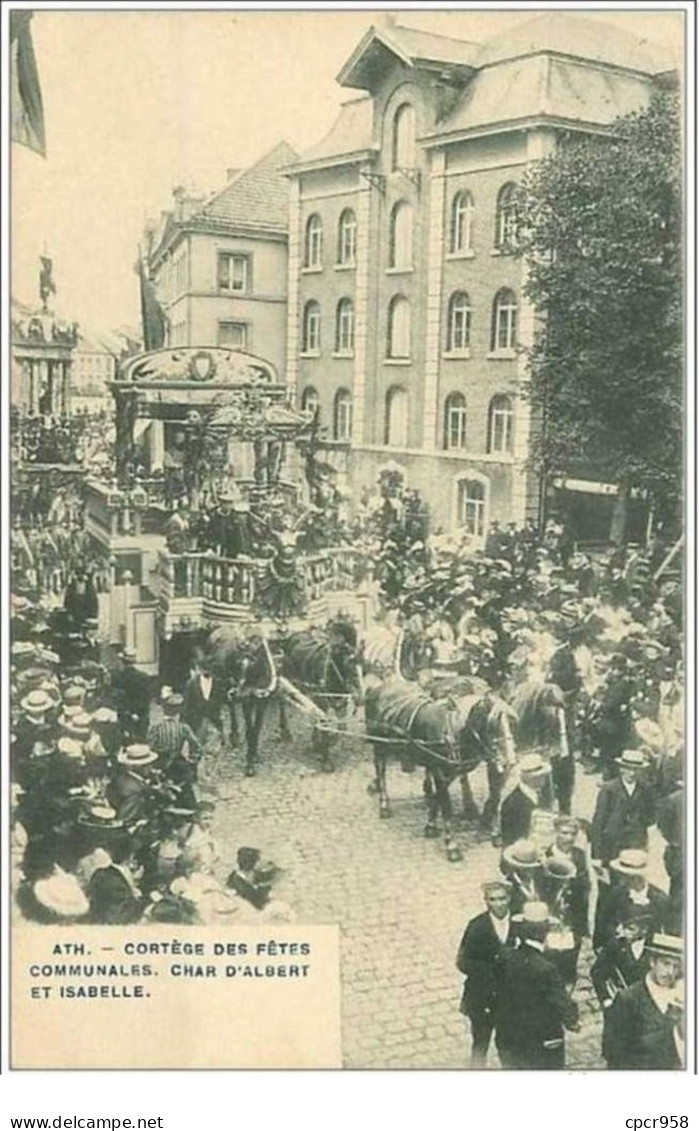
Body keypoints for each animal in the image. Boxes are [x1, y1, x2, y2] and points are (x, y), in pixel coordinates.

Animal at [277, 619, 364, 769]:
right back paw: (285, 733)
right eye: (348, 666)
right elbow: (324, 725)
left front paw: (323, 744)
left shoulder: (341, 703)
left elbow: (341, 727)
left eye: (363, 667)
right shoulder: (322, 700)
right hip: (288, 682)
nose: (360, 698)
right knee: (282, 702)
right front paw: (325, 759)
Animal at [361, 674, 513, 859]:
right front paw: (452, 846)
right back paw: (384, 804)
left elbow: (438, 798)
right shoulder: (440, 772)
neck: (453, 731)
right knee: (380, 770)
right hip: (379, 745)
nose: (508, 761)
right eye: (492, 724)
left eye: (512, 720)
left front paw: (431, 825)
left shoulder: (446, 770)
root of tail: (378, 688)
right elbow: (446, 806)